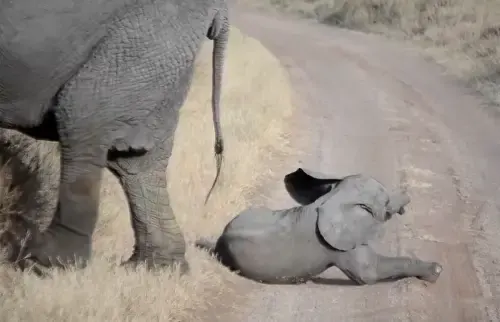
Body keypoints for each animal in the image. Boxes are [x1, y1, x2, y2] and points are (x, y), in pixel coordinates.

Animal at [0, 0, 229, 276]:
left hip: (140, 39)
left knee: (82, 115)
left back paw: (45, 262)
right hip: (157, 51)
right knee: (137, 161)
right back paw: (157, 268)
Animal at [197, 167, 444, 286]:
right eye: (385, 202)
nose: (406, 199)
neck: (335, 196)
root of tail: (218, 242)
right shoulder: (338, 245)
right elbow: (369, 273)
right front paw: (436, 272)